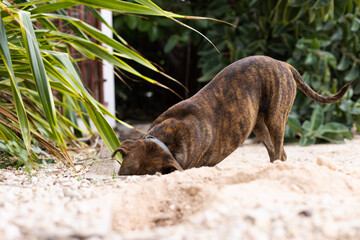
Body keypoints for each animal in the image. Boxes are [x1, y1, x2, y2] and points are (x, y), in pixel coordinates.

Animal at [113, 55, 352, 175]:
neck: (165, 140)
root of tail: (284, 64)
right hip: (258, 125)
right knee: (278, 152)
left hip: (276, 118)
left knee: (278, 149)